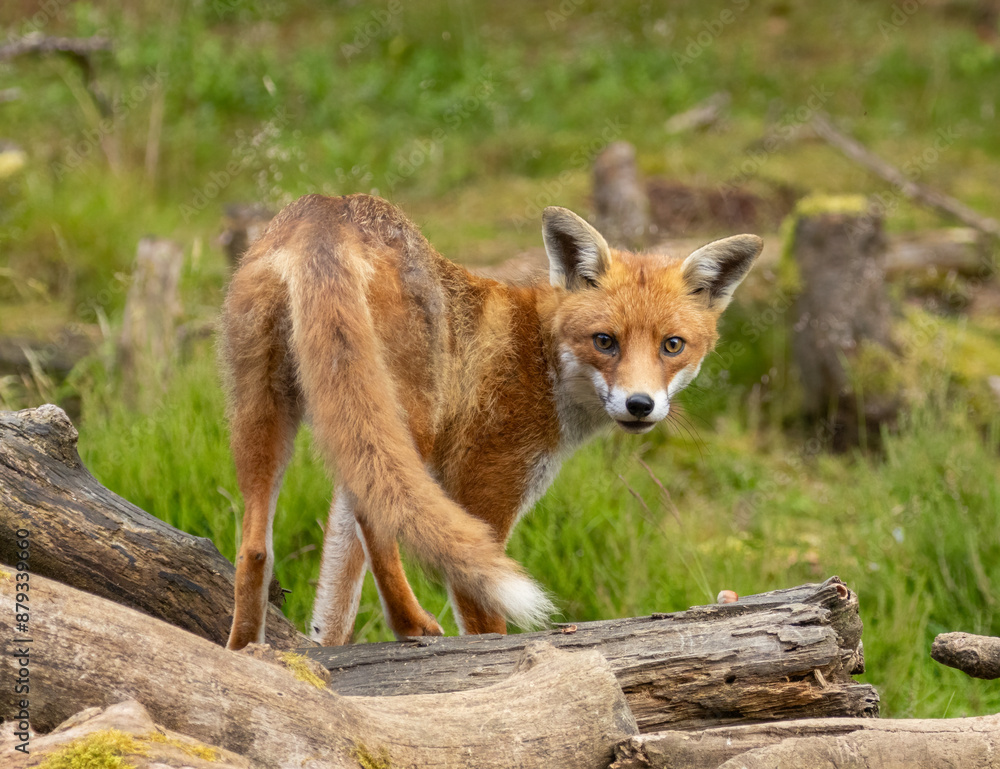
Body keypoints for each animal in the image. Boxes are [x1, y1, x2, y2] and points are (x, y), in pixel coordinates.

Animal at [221, 193, 761, 651]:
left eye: (672, 345)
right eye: (605, 341)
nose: (640, 405)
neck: (541, 357)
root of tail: (327, 210)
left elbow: (335, 598)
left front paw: (323, 664)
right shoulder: (482, 495)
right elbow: (484, 617)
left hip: (267, 414)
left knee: (255, 548)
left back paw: (244, 651)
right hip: (406, 420)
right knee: (377, 518)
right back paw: (411, 625)